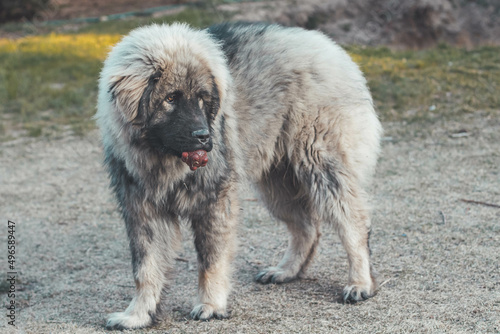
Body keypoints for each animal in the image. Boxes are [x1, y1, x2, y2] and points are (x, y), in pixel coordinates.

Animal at [94, 22, 382, 328]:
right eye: (170, 98)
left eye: (202, 99)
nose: (204, 137)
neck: (163, 160)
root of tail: (329, 46)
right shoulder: (142, 211)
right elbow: (145, 268)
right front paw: (138, 314)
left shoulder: (214, 203)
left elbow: (211, 261)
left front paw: (210, 304)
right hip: (277, 185)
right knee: (307, 228)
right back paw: (287, 270)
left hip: (322, 166)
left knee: (353, 223)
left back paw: (360, 283)